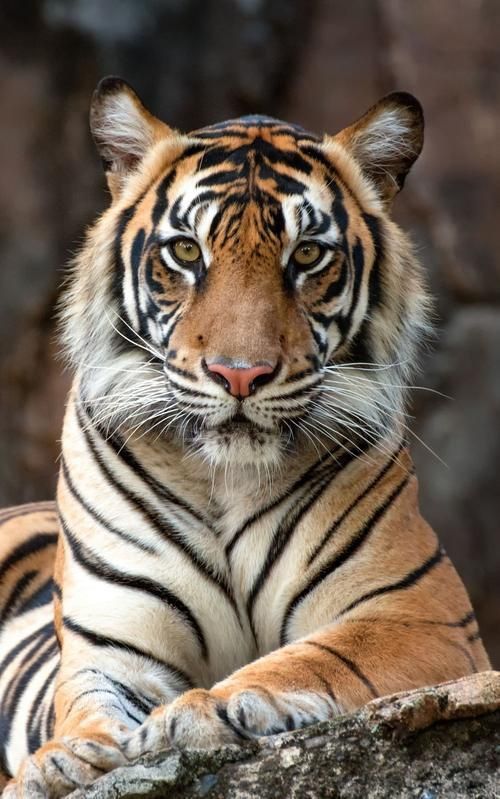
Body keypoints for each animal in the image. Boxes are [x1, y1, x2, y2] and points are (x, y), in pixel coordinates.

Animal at [0, 76, 490, 798]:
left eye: (307, 255)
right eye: (185, 252)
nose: (240, 374)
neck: (224, 477)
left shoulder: (416, 613)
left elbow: (312, 658)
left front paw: (204, 709)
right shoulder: (108, 644)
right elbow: (85, 704)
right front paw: (61, 761)